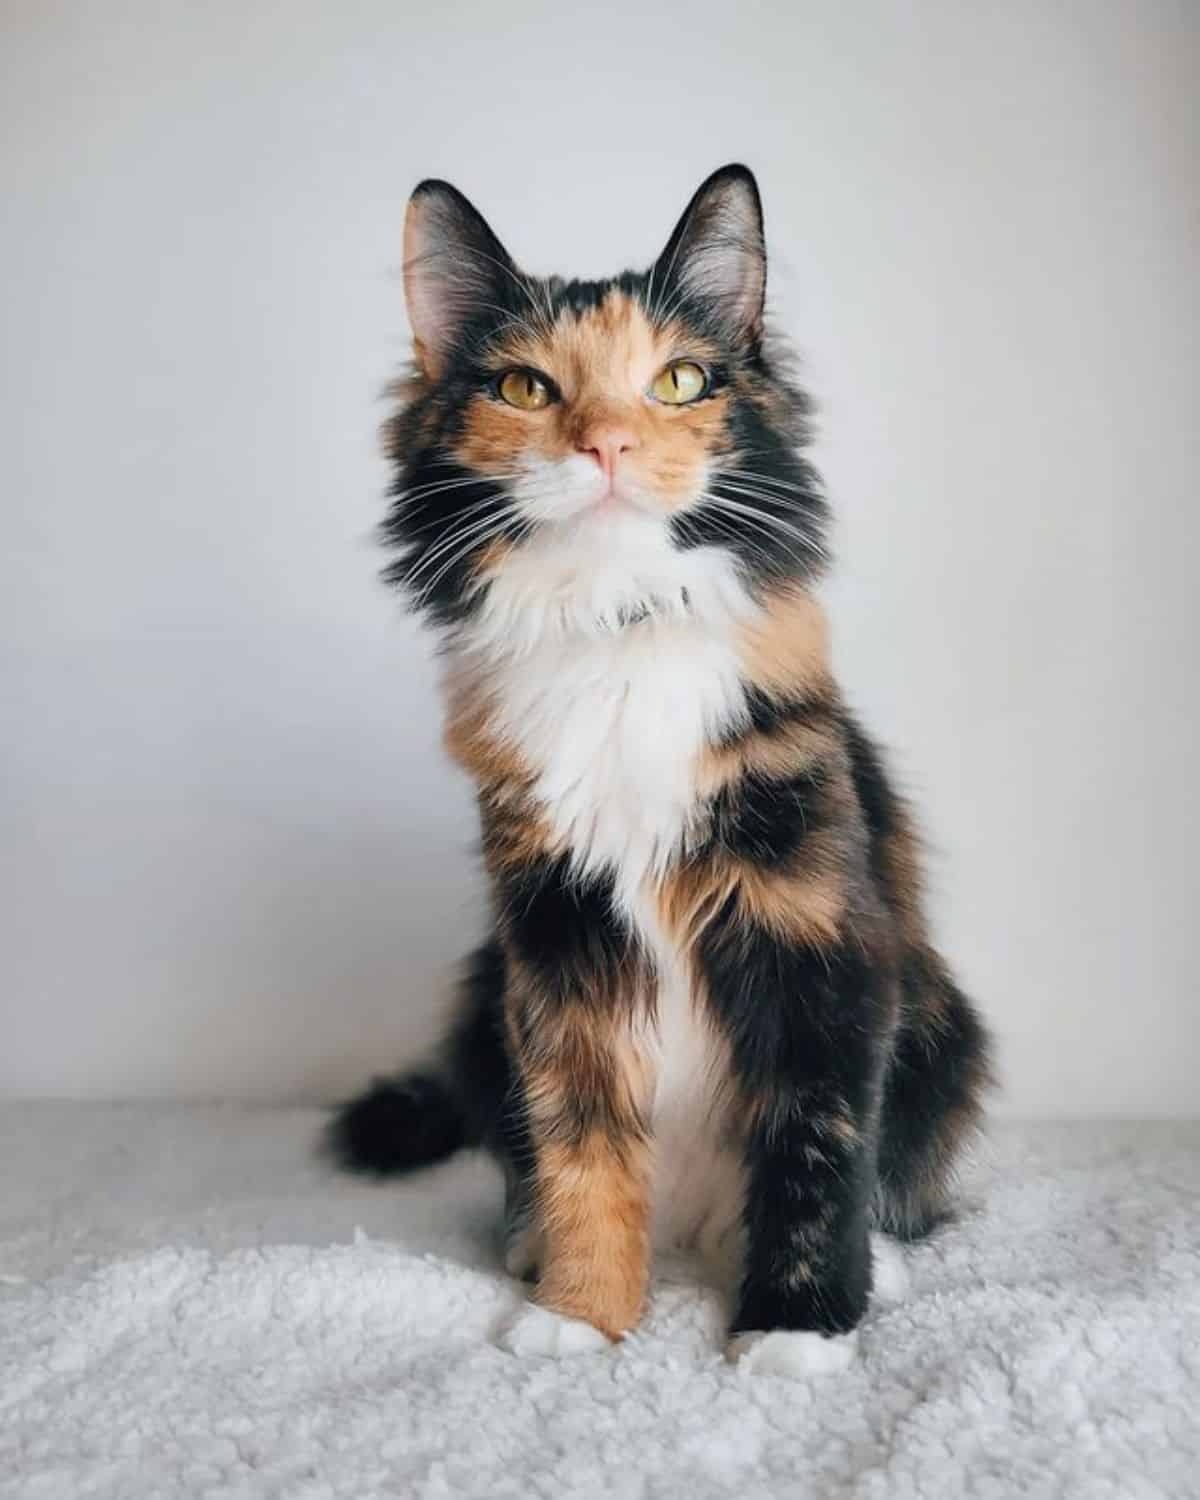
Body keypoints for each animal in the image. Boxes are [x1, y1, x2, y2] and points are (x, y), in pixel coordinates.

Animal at [330, 161, 996, 1374]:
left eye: (679, 380)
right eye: (526, 387)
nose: (605, 446)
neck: (617, 628)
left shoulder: (816, 938)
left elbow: (817, 1151)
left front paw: (794, 1331)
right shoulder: (557, 946)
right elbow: (584, 1146)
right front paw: (583, 1313)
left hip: (942, 1018)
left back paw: (881, 1266)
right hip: (480, 999)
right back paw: (535, 1247)